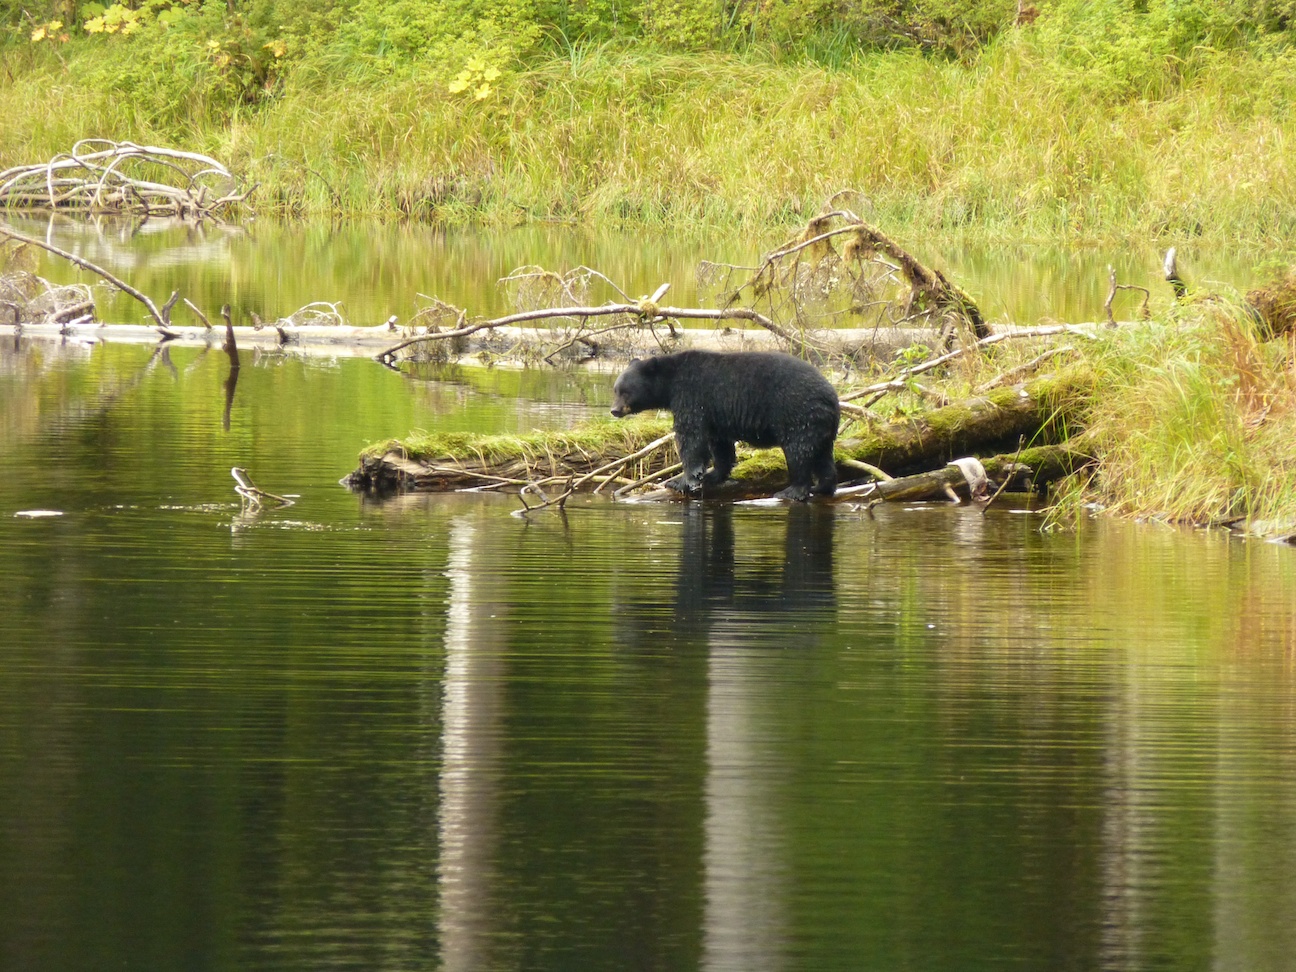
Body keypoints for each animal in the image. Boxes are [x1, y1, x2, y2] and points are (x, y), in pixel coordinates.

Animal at [609, 352, 839, 502]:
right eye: (616, 389)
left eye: (626, 391)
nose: (614, 410)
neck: (671, 383)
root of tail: (832, 398)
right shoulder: (716, 414)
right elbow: (719, 444)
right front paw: (714, 474)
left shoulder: (692, 396)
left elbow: (691, 438)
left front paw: (680, 481)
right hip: (819, 426)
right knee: (822, 456)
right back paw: (823, 487)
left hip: (798, 416)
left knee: (798, 454)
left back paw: (792, 491)